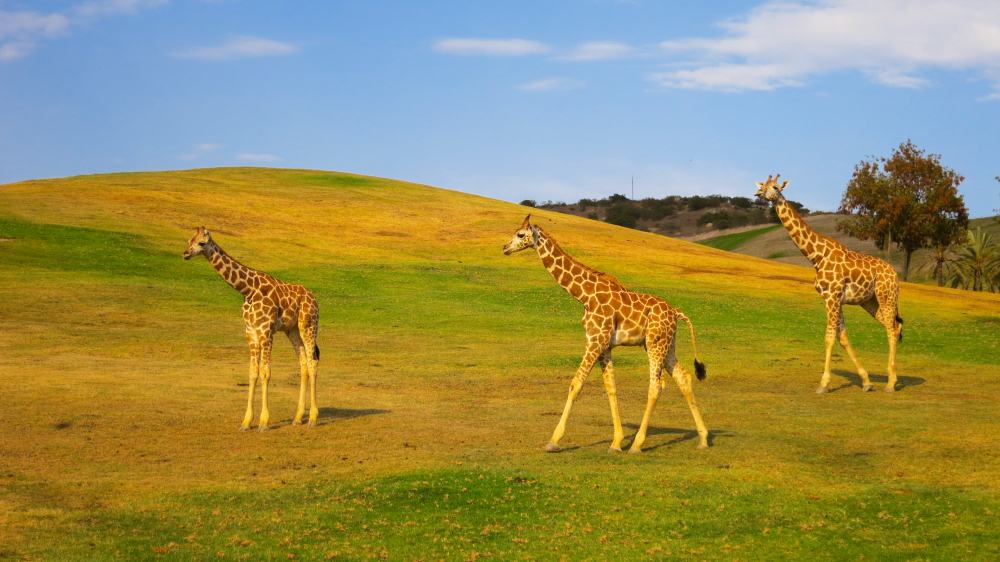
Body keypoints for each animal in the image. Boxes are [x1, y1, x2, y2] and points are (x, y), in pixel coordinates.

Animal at [183, 227, 321, 431]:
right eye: (189, 240)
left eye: (202, 242)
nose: (185, 253)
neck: (248, 290)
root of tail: (314, 299)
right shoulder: (251, 332)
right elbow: (252, 372)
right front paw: (246, 422)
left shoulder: (266, 331)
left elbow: (265, 372)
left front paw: (263, 422)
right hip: (293, 331)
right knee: (303, 363)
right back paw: (297, 417)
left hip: (309, 326)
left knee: (312, 362)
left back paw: (312, 418)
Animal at [503, 215, 709, 454]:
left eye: (520, 234)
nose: (505, 247)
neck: (584, 295)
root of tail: (676, 312)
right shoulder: (604, 345)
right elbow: (611, 387)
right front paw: (616, 442)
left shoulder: (595, 340)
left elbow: (576, 384)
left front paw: (554, 440)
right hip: (666, 343)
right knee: (683, 378)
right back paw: (703, 439)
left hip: (655, 344)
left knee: (656, 386)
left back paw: (637, 444)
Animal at [756, 175, 903, 393]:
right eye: (762, 186)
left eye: (775, 187)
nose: (758, 194)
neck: (816, 256)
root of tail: (894, 273)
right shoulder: (832, 298)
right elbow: (842, 338)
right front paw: (866, 381)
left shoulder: (832, 296)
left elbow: (830, 337)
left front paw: (823, 384)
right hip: (869, 301)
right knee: (894, 326)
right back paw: (891, 379)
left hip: (887, 295)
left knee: (891, 329)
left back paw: (891, 383)